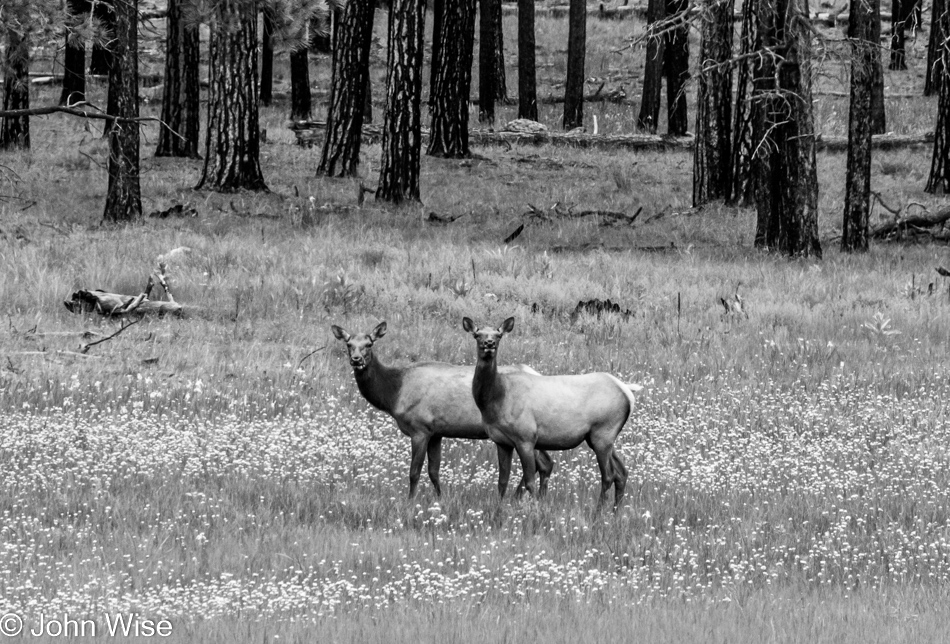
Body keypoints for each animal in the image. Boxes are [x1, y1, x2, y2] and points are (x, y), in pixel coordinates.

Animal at [330, 322, 556, 498]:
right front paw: (440, 498)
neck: (394, 394)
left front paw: (410, 502)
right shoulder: (436, 432)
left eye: (369, 344)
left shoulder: (419, 428)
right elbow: (433, 471)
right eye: (348, 344)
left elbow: (414, 472)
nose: (356, 360)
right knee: (545, 463)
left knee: (541, 463)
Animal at [462, 316, 640, 508]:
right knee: (622, 472)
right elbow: (502, 481)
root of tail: (628, 392)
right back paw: (615, 511)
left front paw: (532, 509)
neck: (496, 399)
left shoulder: (526, 437)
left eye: (499, 335)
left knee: (608, 476)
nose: (489, 343)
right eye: (477, 334)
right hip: (599, 437)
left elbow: (530, 482)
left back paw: (599, 512)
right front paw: (499, 508)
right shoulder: (501, 441)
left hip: (603, 432)